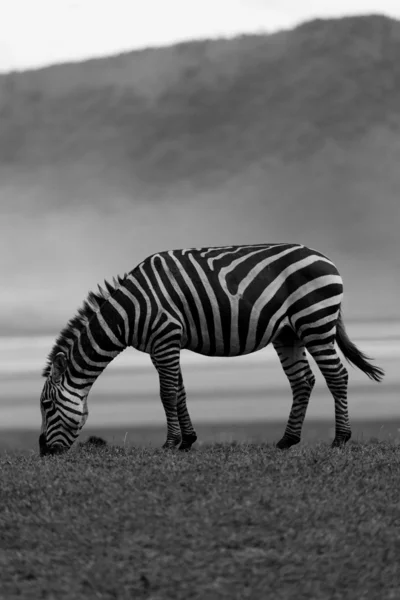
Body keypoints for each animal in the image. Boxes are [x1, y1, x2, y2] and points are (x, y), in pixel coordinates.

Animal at [38, 243, 384, 454]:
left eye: (46, 405)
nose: (42, 452)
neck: (128, 312)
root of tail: (324, 256)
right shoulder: (163, 344)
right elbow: (179, 391)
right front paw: (187, 441)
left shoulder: (165, 337)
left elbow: (166, 393)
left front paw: (170, 443)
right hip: (289, 333)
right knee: (303, 381)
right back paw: (287, 440)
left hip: (315, 320)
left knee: (337, 376)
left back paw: (340, 439)